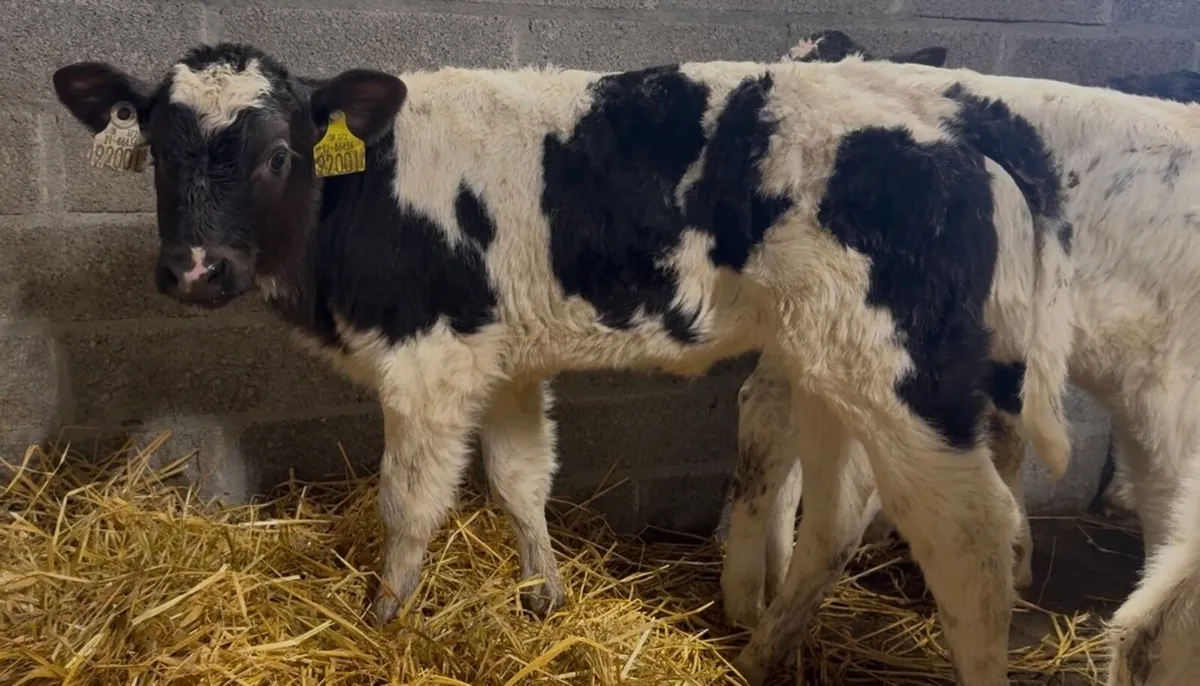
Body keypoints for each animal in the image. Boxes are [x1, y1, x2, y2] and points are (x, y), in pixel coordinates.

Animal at [52, 41, 1076, 685]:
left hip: (908, 379)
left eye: (277, 152)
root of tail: (962, 133)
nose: (195, 270)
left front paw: (383, 621)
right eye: (157, 152)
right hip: (831, 365)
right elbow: (518, 481)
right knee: (836, 517)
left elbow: (409, 504)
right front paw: (543, 596)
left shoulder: (430, 362)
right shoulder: (502, 362)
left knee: (972, 537)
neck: (358, 200)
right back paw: (757, 658)